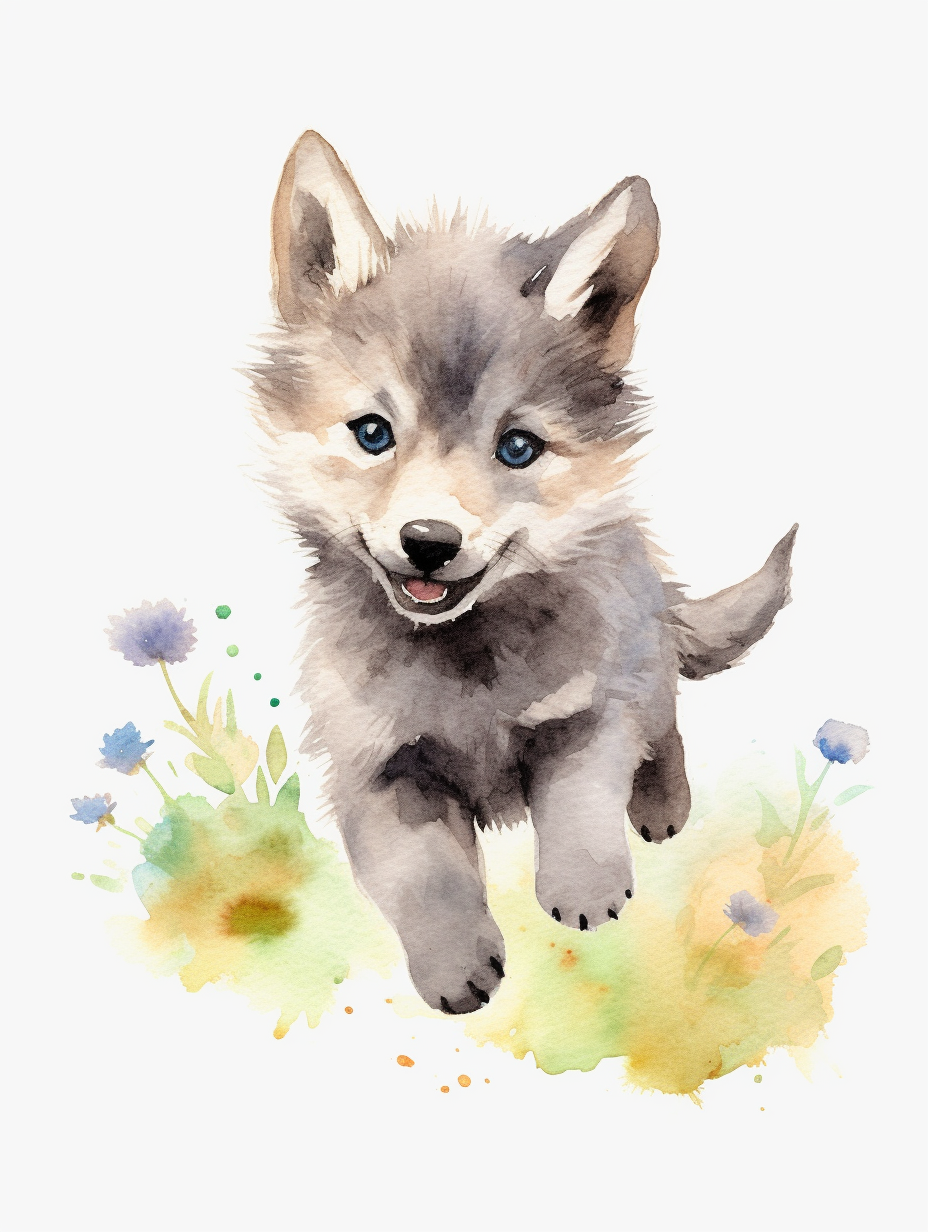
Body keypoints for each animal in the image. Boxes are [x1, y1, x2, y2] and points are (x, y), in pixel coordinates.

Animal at [251, 131, 796, 1014]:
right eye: (372, 433)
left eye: (517, 448)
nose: (429, 542)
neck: (468, 671)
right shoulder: (377, 771)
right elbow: (426, 882)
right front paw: (455, 966)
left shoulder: (587, 715)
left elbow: (580, 808)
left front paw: (586, 891)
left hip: (642, 665)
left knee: (666, 721)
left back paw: (665, 802)